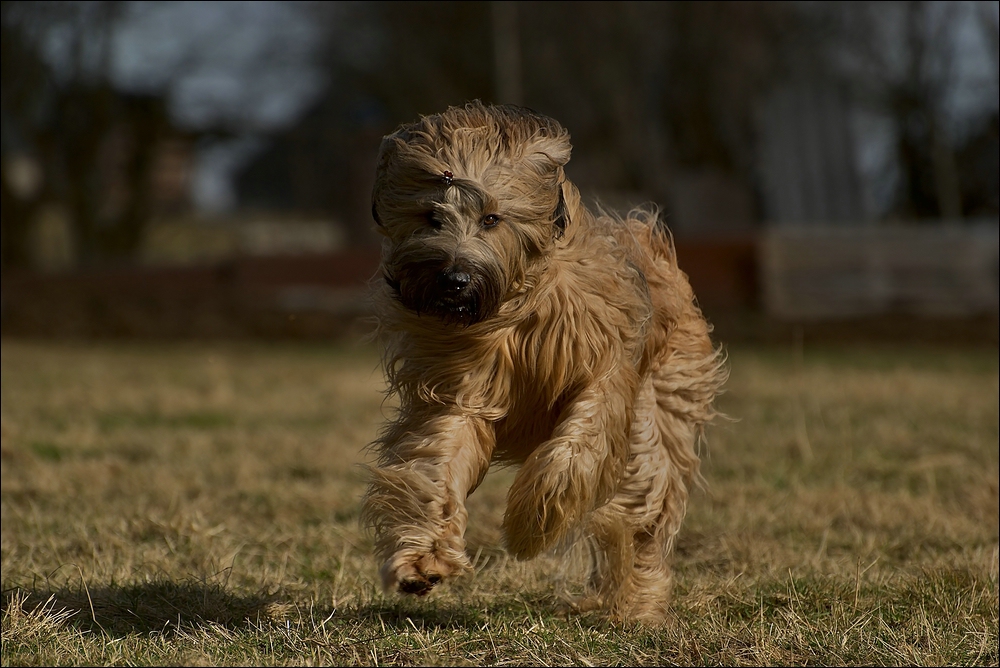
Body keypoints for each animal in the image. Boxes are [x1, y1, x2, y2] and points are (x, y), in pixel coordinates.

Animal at [364, 102, 724, 624]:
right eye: (430, 216)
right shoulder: (459, 393)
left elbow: (577, 445)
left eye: (491, 218)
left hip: (656, 414)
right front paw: (421, 558)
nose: (453, 279)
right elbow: (437, 465)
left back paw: (637, 605)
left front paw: (530, 523)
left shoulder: (605, 373)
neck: (511, 312)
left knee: (643, 512)